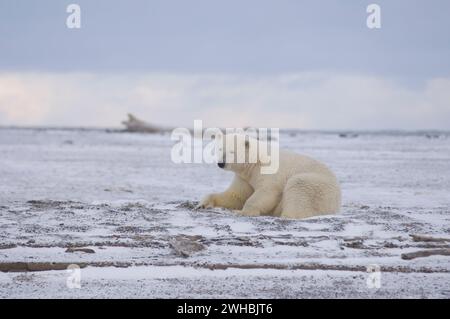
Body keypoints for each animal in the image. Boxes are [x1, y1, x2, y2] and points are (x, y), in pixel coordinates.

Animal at [198, 133, 342, 220]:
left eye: (232, 152)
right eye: (220, 149)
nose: (221, 163)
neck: (255, 162)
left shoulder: (269, 171)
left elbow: (267, 192)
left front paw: (242, 212)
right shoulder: (244, 178)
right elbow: (236, 195)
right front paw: (203, 204)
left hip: (317, 186)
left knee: (298, 187)